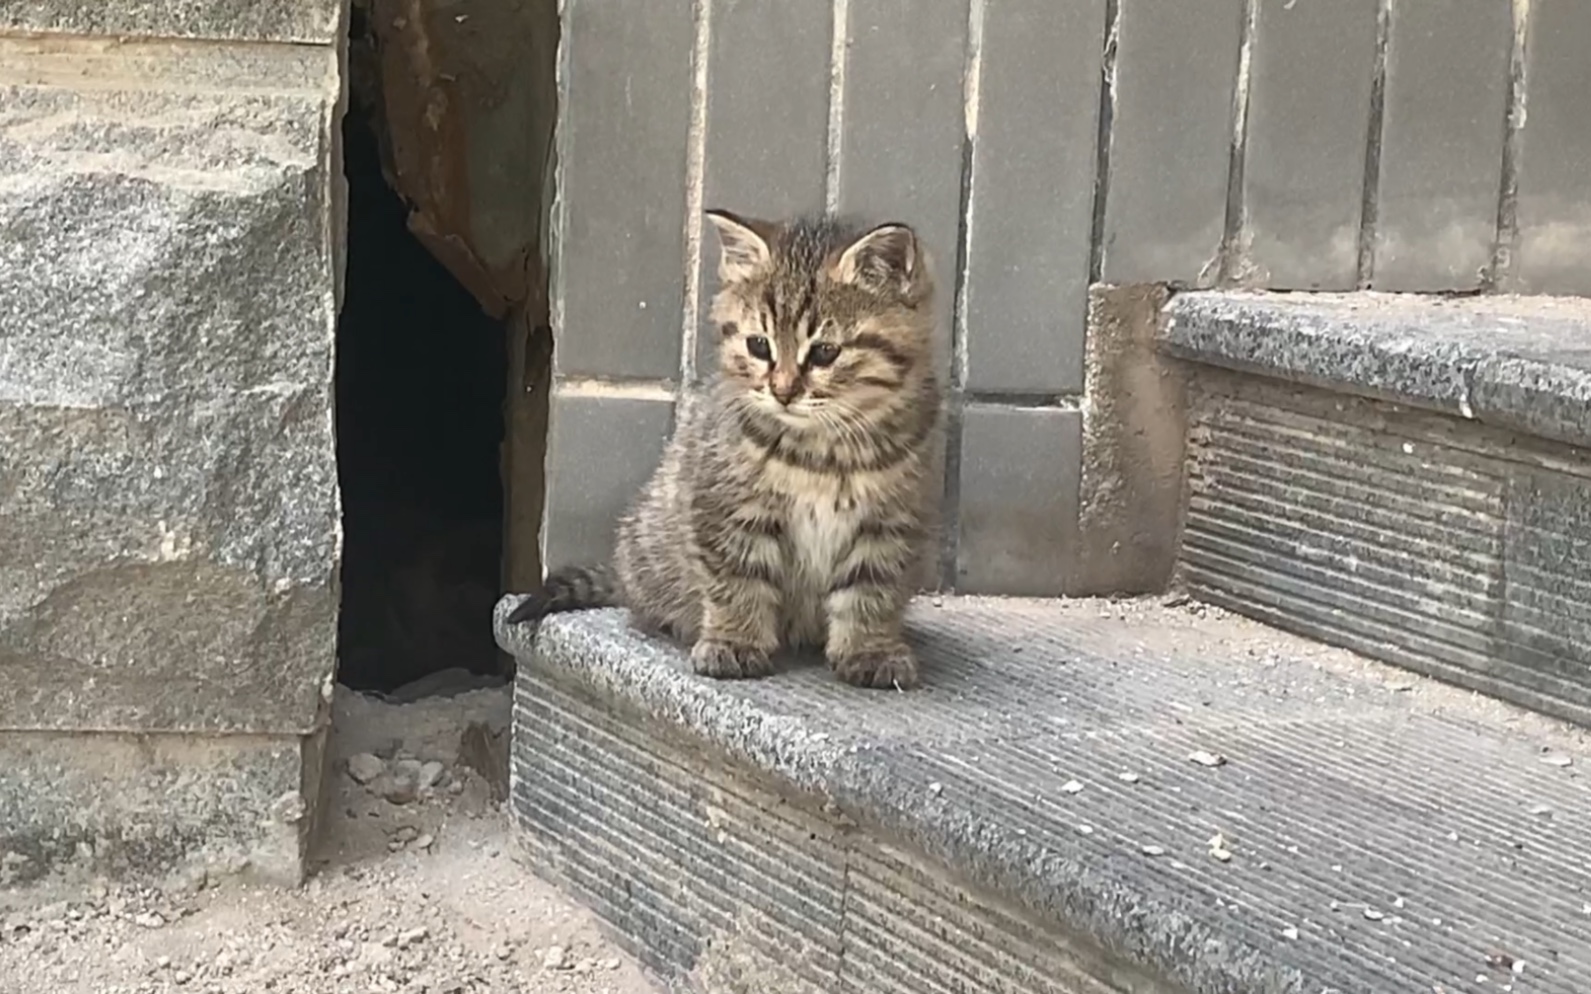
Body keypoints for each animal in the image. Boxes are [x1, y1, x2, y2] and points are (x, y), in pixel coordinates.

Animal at [509, 206, 935, 690]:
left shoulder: (891, 523)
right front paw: (735, 642)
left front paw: (870, 649)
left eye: (825, 352)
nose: (783, 391)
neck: (823, 451)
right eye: (759, 345)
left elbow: (872, 590)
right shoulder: (727, 511)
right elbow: (737, 581)